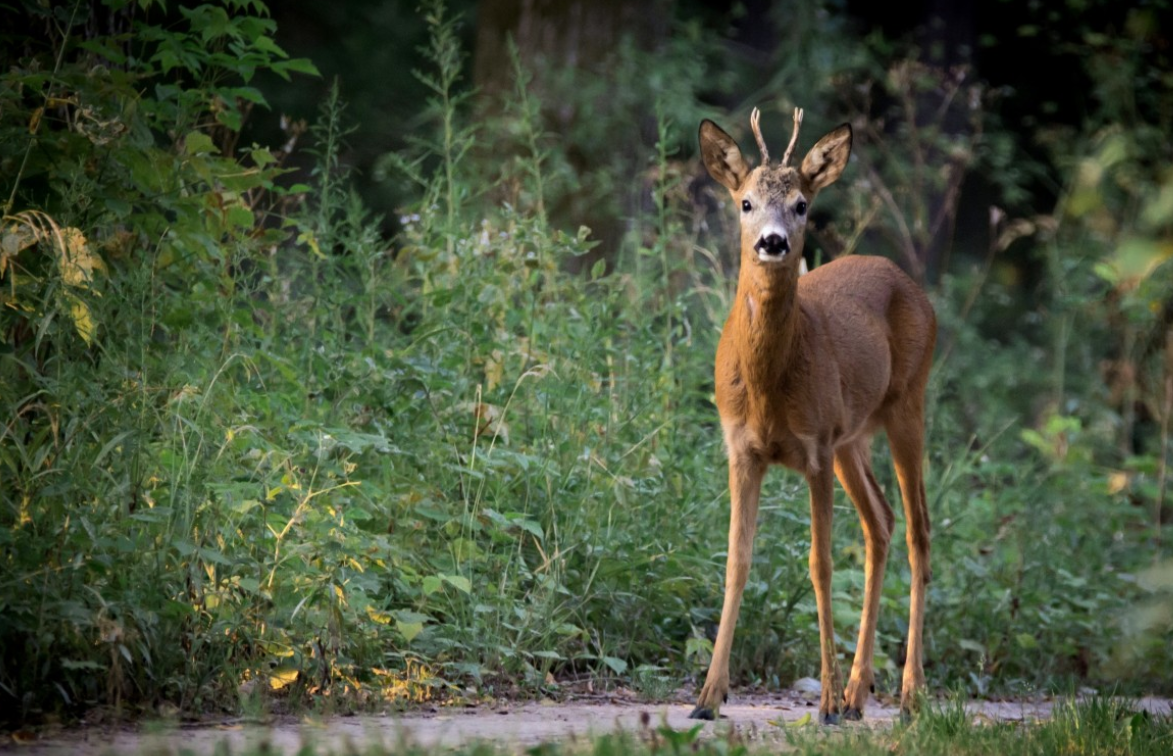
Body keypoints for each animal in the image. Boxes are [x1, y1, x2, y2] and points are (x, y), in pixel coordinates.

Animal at [689, 109, 938, 722]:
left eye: (801, 204)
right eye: (746, 202)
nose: (774, 242)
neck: (767, 389)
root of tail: (910, 282)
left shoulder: (815, 446)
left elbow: (820, 566)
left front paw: (822, 701)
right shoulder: (742, 448)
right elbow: (736, 561)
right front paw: (708, 696)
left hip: (907, 404)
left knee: (918, 529)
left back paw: (907, 692)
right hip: (854, 437)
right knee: (882, 522)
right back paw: (857, 692)